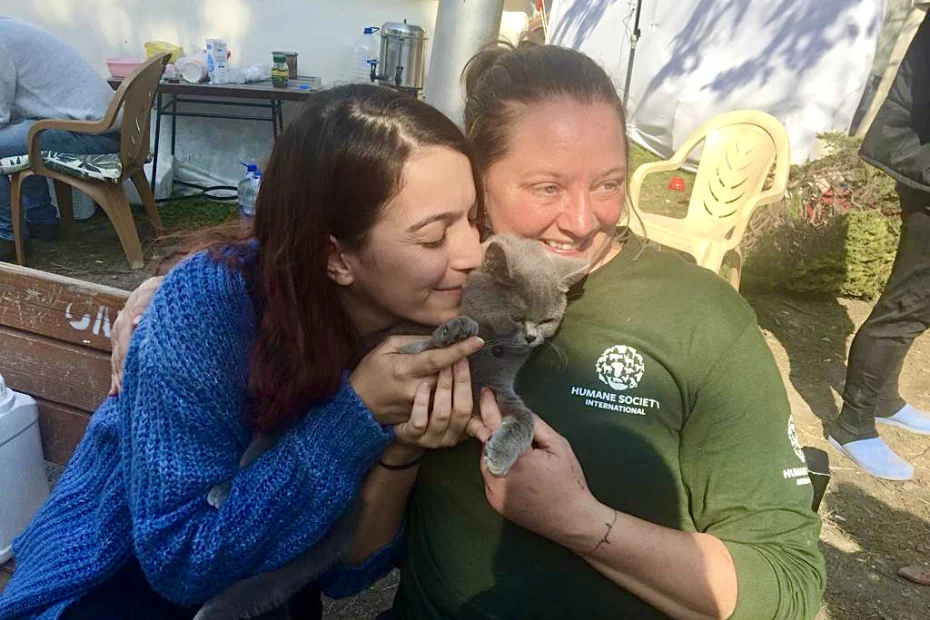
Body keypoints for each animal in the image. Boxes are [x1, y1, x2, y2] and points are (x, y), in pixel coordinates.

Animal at [196, 234, 586, 619]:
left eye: (548, 319)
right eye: (518, 316)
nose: (533, 338)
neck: (494, 347)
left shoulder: (492, 391)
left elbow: (525, 418)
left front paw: (500, 456)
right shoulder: (397, 350)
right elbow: (424, 345)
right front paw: (456, 330)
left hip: (346, 519)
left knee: (310, 559)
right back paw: (222, 490)